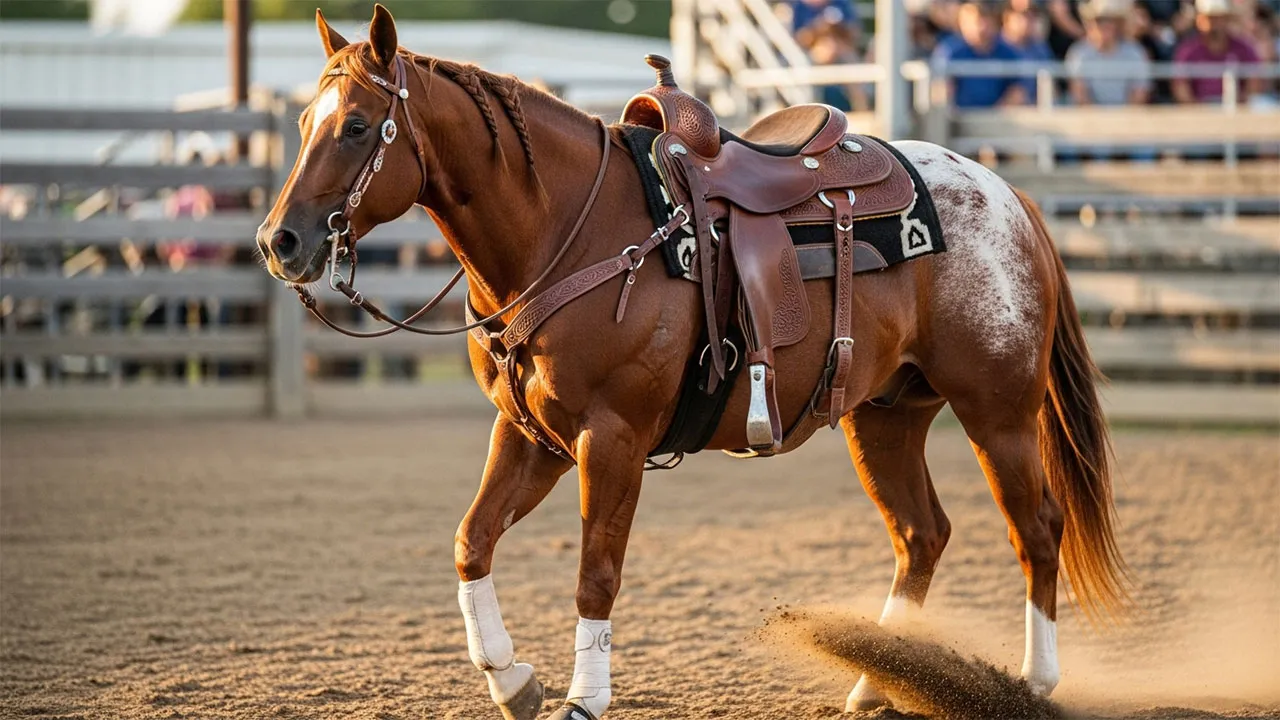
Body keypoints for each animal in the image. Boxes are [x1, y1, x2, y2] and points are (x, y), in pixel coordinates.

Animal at [255, 5, 1128, 718]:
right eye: (302, 122)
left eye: (358, 126)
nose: (279, 240)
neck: (570, 229)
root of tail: (1008, 197)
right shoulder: (533, 436)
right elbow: (472, 541)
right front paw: (513, 682)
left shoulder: (612, 438)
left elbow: (595, 572)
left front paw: (583, 699)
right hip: (886, 415)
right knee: (923, 535)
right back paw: (873, 685)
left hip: (997, 410)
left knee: (1036, 527)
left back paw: (1033, 682)